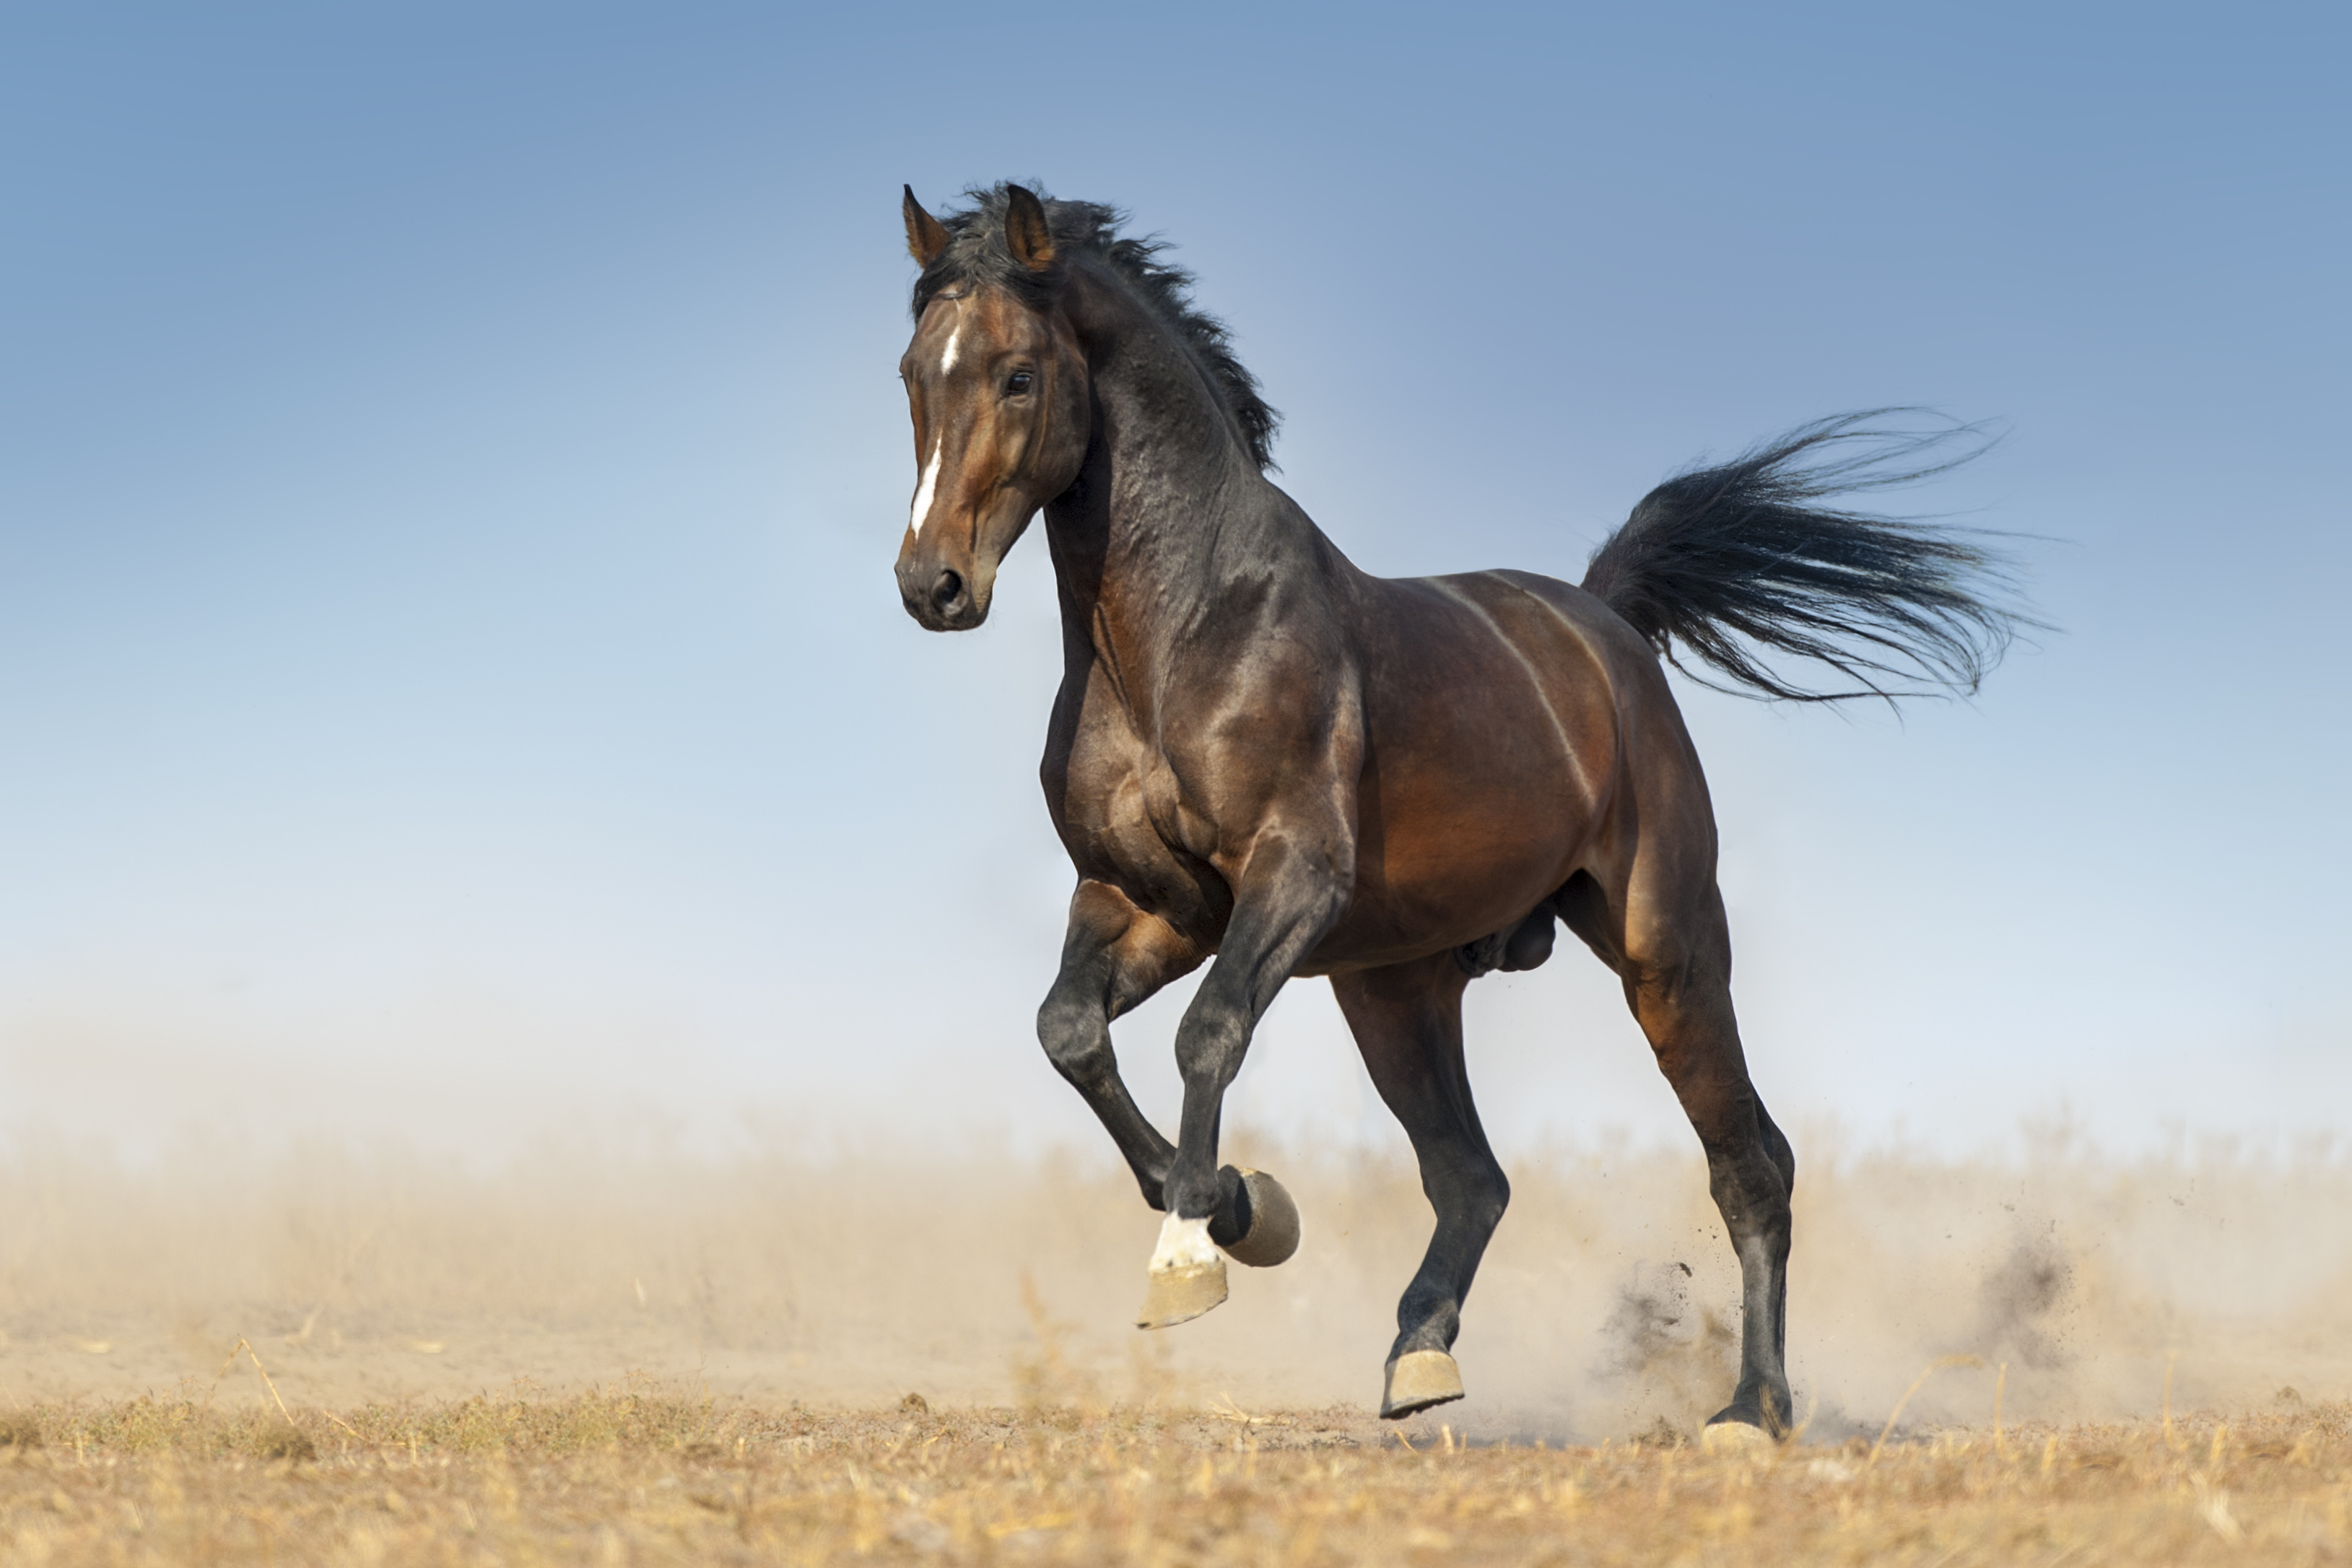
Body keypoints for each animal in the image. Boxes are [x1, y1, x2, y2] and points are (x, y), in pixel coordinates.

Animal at [888, 182, 2025, 1441]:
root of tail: (1599, 621)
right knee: (1472, 1177)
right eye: (912, 372)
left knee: (1749, 1163)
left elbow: (1206, 1034)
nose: (932, 585)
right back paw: (1419, 1357)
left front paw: (1192, 1254)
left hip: (1664, 949)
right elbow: (1070, 1034)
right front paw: (1247, 1209)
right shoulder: (1148, 901)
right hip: (1395, 988)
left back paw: (1751, 1410)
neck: (1182, 635)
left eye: (1017, 375)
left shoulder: (1289, 877)